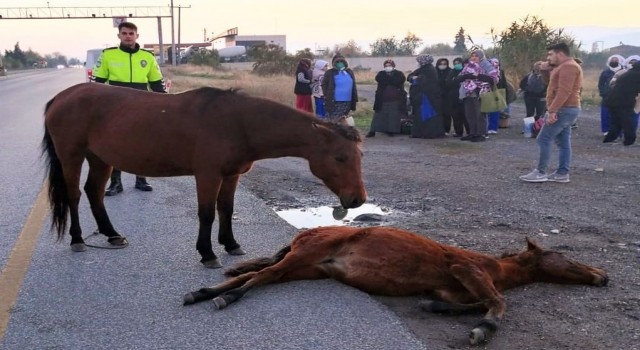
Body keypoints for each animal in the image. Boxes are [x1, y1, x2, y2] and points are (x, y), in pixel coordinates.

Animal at [42, 82, 368, 268]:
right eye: (339, 157)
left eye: (360, 157)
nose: (357, 199)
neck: (238, 123)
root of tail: (60, 97)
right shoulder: (208, 175)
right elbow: (207, 213)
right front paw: (208, 253)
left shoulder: (231, 175)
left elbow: (226, 209)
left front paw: (231, 244)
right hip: (72, 156)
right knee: (74, 194)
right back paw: (77, 239)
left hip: (100, 159)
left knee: (94, 192)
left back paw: (111, 235)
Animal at [182, 227, 608, 344]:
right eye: (567, 258)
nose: (602, 277)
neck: (496, 266)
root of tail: (306, 234)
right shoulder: (467, 269)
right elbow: (499, 302)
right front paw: (483, 330)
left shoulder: (453, 287)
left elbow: (468, 302)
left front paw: (434, 308)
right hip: (305, 257)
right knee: (259, 277)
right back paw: (222, 298)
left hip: (309, 268)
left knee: (259, 274)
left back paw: (204, 293)